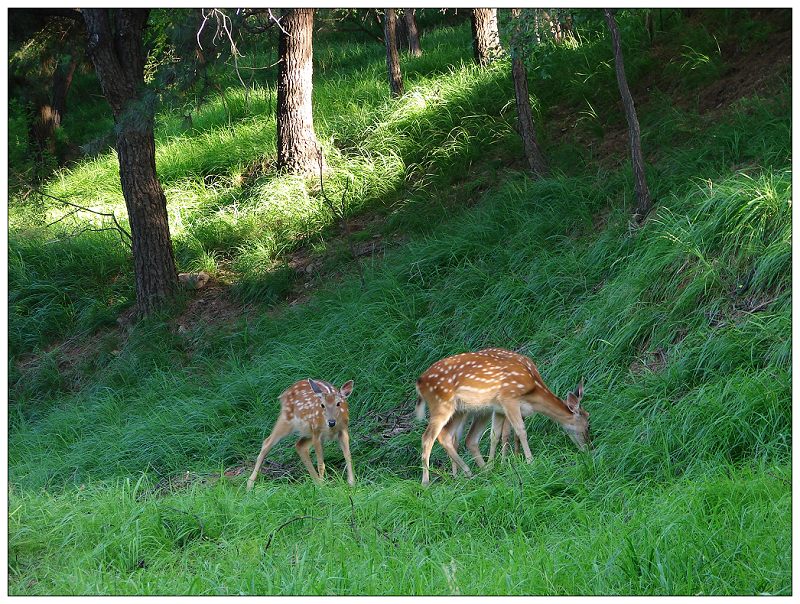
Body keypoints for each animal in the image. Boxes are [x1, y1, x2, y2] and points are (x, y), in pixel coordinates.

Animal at [416, 346, 592, 484]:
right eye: (587, 424)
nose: (589, 448)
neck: (532, 391)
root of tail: (419, 382)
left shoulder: (499, 409)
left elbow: (497, 435)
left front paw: (499, 464)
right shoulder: (509, 398)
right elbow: (520, 431)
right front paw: (529, 461)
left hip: (462, 410)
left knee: (456, 437)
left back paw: (471, 472)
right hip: (442, 405)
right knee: (429, 438)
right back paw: (427, 482)